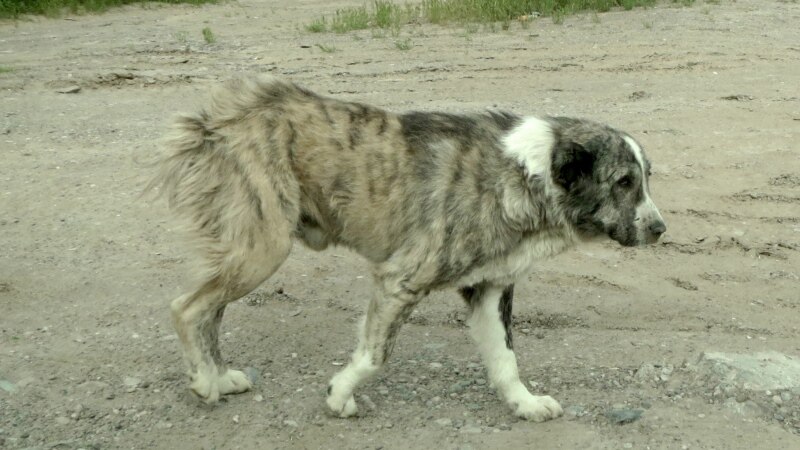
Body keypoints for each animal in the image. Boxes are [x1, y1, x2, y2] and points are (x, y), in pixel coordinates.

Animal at [147, 74, 664, 422]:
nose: (660, 229)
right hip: (263, 249)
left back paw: (218, 375)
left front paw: (525, 403)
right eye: (624, 182)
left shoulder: (490, 291)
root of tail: (225, 116)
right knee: (187, 307)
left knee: (210, 310)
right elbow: (374, 355)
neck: (522, 175)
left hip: (248, 251)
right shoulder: (401, 280)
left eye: (646, 178)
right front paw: (339, 395)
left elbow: (505, 361)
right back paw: (204, 381)